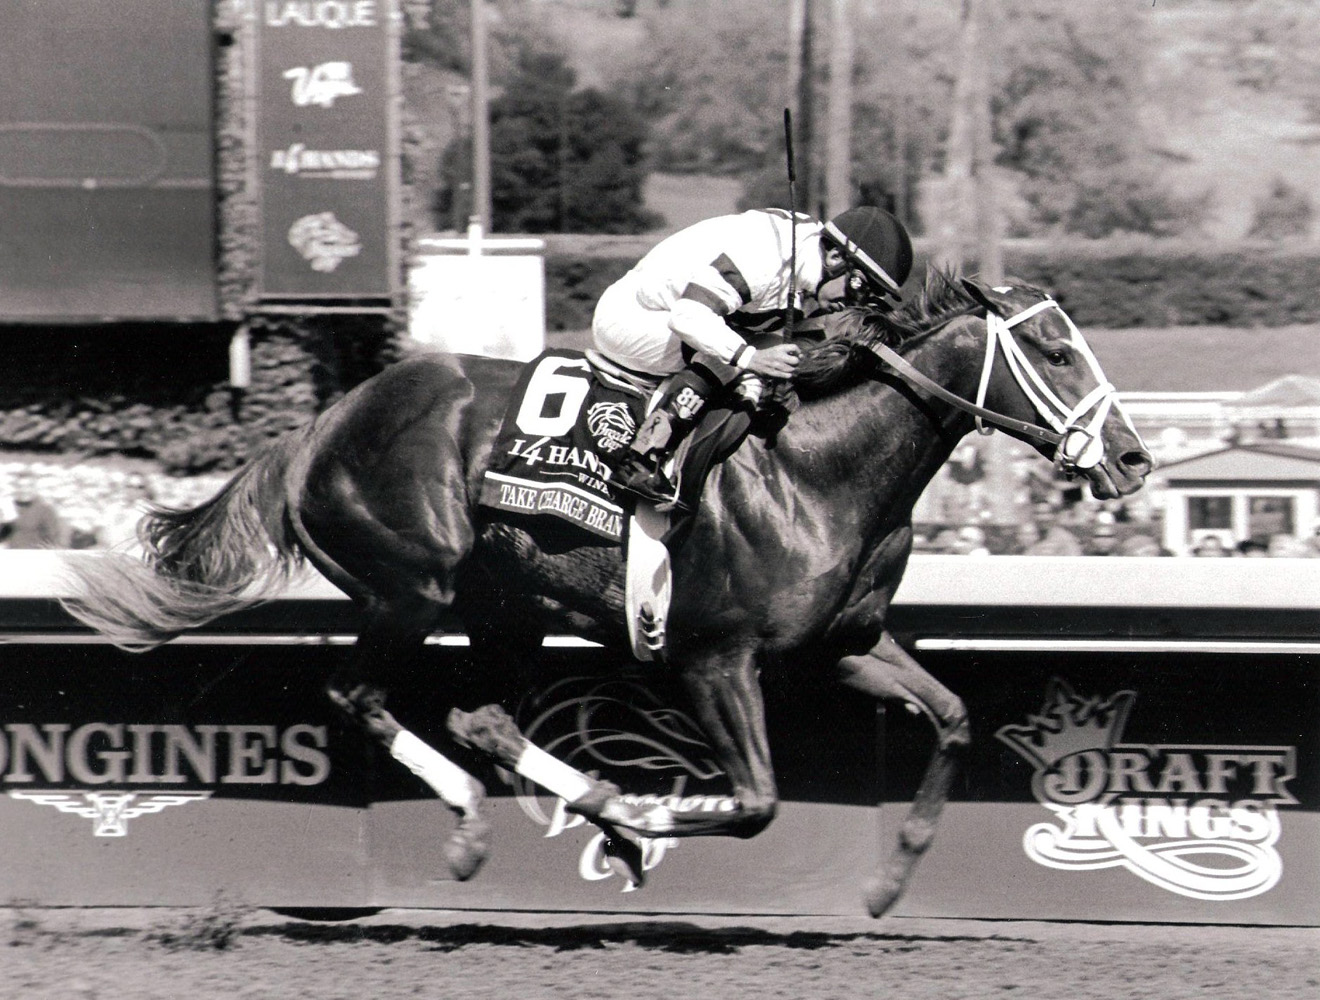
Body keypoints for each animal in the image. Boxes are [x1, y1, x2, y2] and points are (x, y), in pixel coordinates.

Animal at [66, 274, 1151, 918]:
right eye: (1057, 352)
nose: (1135, 458)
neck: (817, 466)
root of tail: (321, 426)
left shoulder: (838, 646)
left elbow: (956, 716)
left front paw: (889, 881)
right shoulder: (713, 657)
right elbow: (755, 802)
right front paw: (640, 815)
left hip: (506, 611)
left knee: (482, 714)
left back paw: (573, 807)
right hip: (411, 586)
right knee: (361, 694)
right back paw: (495, 825)